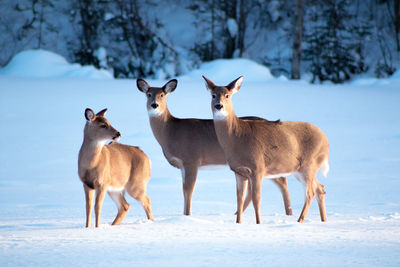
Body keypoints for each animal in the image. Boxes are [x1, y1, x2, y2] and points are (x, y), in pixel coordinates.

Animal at [136, 78, 292, 217]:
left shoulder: (192, 159)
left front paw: (187, 216)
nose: (154, 105)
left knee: (282, 180)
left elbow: (188, 190)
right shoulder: (182, 165)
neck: (172, 131)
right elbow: (183, 190)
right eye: (148, 94)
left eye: (162, 95)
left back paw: (288, 213)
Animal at [202, 76, 330, 225]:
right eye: (213, 95)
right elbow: (239, 199)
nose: (219, 106)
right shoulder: (239, 171)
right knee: (320, 188)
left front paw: (258, 223)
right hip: (300, 169)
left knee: (310, 193)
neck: (237, 137)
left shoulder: (258, 168)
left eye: (227, 95)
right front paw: (238, 223)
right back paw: (323, 220)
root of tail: (326, 141)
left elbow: (256, 199)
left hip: (309, 165)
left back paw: (299, 221)